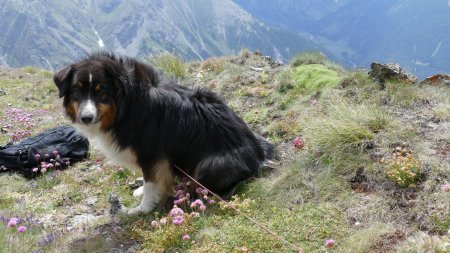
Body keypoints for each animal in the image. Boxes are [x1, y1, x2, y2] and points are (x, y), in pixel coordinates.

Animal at [54, 52, 276, 214]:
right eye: (77, 91)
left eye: (102, 92)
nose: (86, 118)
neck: (127, 104)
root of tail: (260, 155)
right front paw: (141, 191)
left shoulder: (151, 153)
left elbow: (152, 183)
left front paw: (142, 209)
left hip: (211, 164)